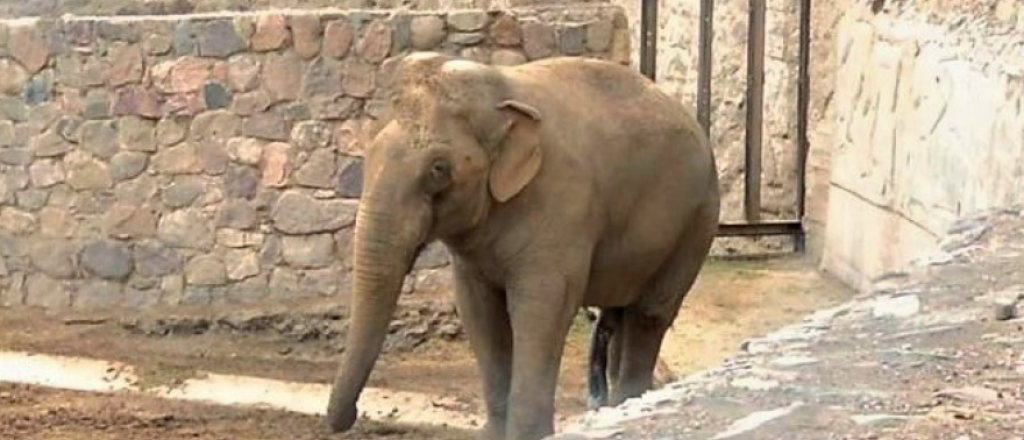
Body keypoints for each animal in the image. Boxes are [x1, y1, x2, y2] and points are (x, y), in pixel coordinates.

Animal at [325, 51, 721, 440]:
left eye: (438, 169)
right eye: (368, 154)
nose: (352, 417)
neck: (501, 91)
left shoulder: (563, 204)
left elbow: (541, 308)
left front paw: (530, 433)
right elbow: (479, 311)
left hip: (697, 220)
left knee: (649, 313)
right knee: (620, 312)